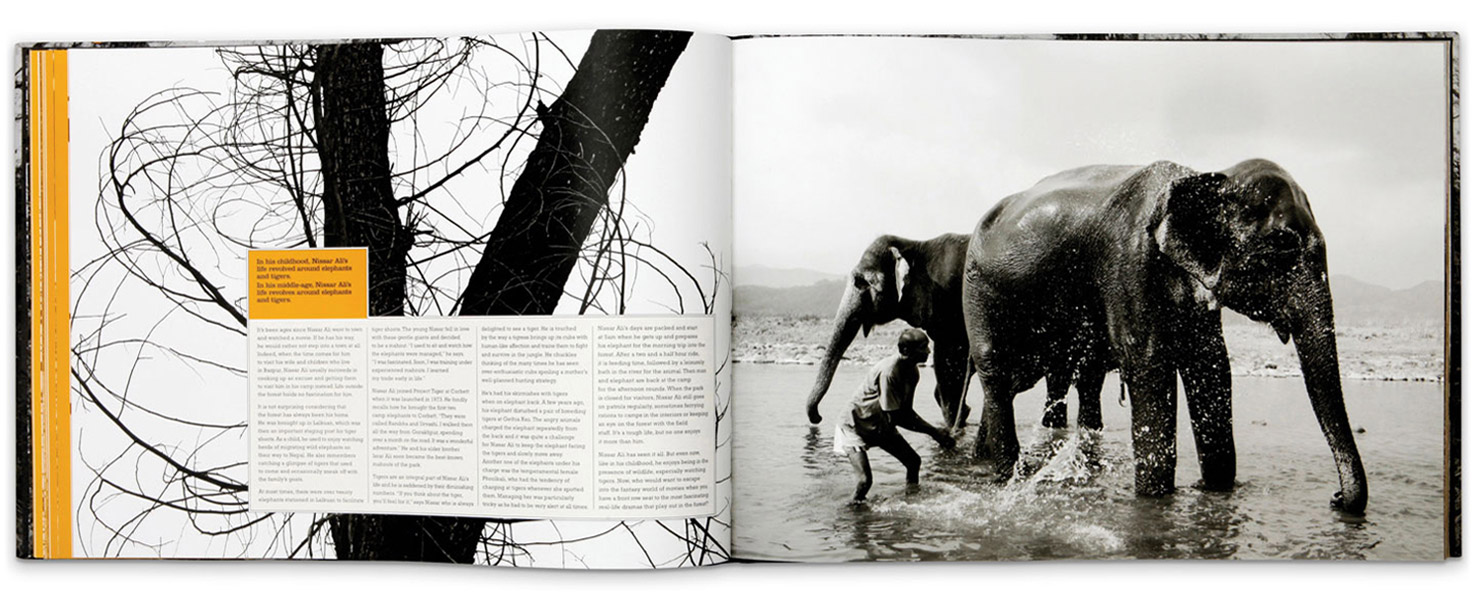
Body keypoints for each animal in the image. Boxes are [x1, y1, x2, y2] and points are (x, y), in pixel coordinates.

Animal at [804, 233, 1106, 433]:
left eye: (860, 281)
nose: (817, 419)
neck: (914, 243)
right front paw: (958, 423)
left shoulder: (949, 303)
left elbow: (950, 364)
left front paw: (954, 428)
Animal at [961, 159, 1367, 515]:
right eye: (1281, 245)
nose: (1335, 498)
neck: (1207, 178)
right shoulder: (1127, 266)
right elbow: (1150, 367)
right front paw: (1155, 501)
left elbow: (1211, 368)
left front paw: (1214, 490)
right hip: (978, 292)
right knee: (998, 376)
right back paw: (1007, 477)